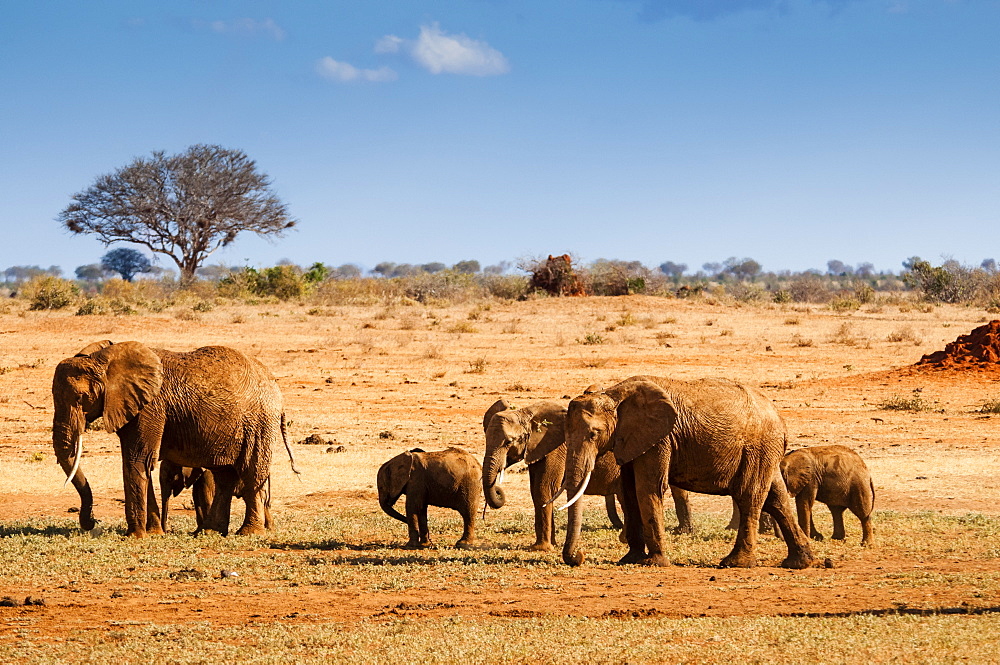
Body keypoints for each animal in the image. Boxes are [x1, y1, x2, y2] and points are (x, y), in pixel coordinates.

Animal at [52, 340, 286, 536]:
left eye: (81, 398)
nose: (93, 522)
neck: (104, 358)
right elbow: (138, 464)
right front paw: (154, 534)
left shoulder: (150, 407)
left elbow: (137, 461)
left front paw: (135, 537)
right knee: (224, 477)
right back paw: (209, 532)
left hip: (259, 423)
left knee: (251, 472)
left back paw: (249, 533)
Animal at [480, 400, 692, 548]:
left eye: (508, 442)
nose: (498, 490)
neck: (528, 412)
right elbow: (537, 491)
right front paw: (550, 545)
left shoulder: (556, 449)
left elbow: (543, 490)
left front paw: (541, 548)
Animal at [560, 376, 816, 568]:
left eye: (593, 434)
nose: (579, 557)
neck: (614, 393)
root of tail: (780, 418)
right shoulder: (631, 440)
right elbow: (630, 491)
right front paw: (629, 560)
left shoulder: (660, 440)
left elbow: (648, 489)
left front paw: (655, 563)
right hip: (766, 449)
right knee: (776, 498)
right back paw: (799, 563)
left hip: (758, 446)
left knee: (748, 495)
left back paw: (735, 563)